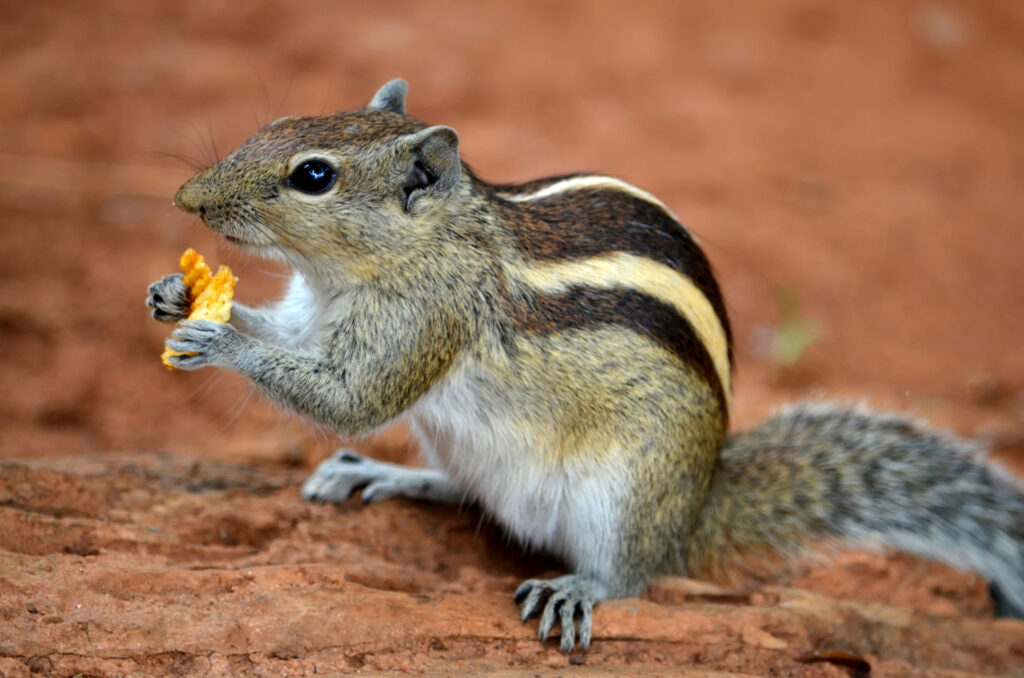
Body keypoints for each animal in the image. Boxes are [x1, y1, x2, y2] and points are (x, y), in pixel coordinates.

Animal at [148, 78, 1024, 655]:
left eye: (314, 175)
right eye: (277, 122)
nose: (187, 198)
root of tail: (696, 511)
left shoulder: (425, 322)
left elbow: (350, 399)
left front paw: (220, 342)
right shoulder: (313, 310)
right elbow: (287, 335)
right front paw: (175, 295)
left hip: (624, 490)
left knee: (633, 575)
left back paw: (579, 586)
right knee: (473, 495)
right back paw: (389, 476)